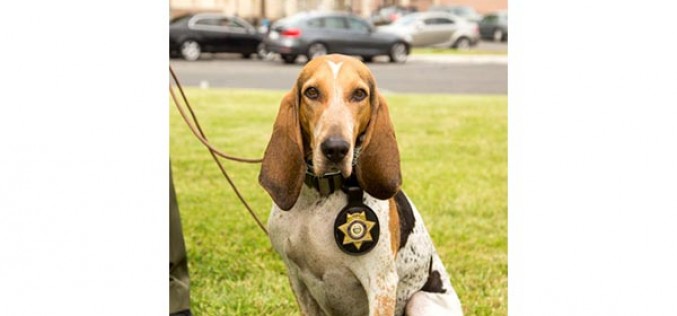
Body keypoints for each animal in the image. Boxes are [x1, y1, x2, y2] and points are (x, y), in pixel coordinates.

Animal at [258, 55, 460, 316]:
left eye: (359, 94)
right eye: (312, 92)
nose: (335, 148)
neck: (320, 197)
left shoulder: (381, 283)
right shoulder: (297, 281)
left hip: (420, 302)